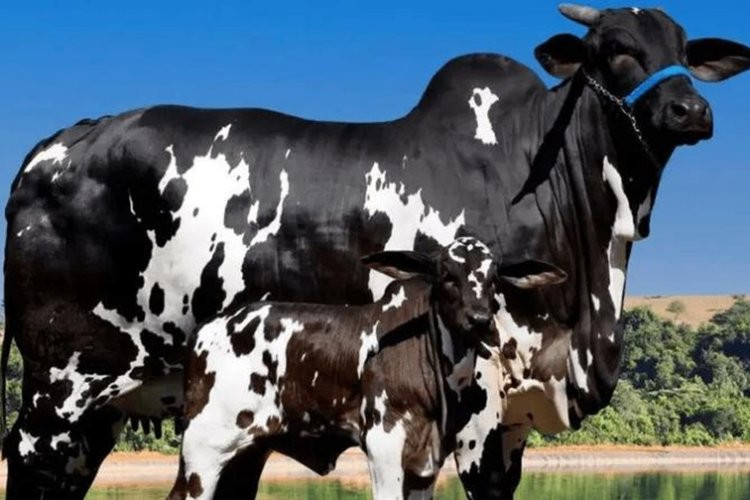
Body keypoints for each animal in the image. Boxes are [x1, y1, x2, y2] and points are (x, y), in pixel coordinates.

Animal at [168, 237, 566, 499]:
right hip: (202, 451)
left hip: (245, 454)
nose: (481, 321)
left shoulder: (426, 464)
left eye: (494, 279)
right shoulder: (383, 446)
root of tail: (208, 328)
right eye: (446, 275)